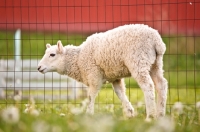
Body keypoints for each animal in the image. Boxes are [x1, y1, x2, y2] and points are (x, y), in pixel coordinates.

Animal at [37, 24, 167, 120]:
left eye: (52, 54)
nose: (38, 67)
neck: (78, 59)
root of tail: (157, 41)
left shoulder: (93, 75)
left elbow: (91, 96)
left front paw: (89, 114)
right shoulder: (115, 77)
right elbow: (120, 92)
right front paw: (129, 113)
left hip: (138, 60)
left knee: (148, 86)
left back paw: (150, 116)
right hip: (156, 63)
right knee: (161, 84)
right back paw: (160, 115)